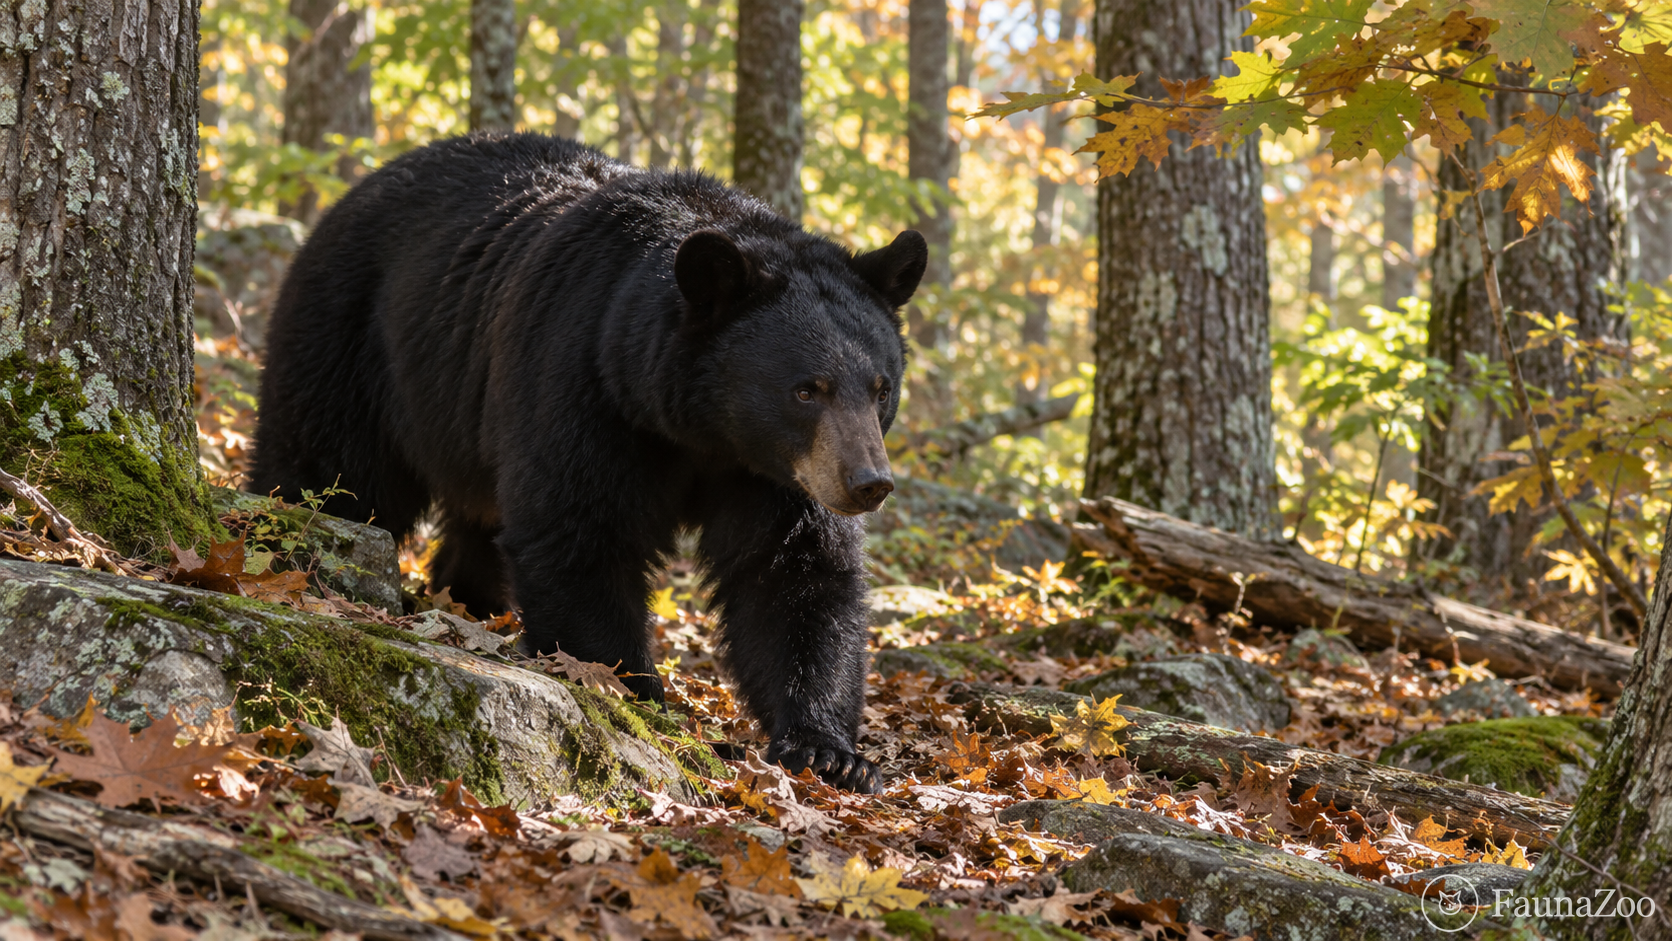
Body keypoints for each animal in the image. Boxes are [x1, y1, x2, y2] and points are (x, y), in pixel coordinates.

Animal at [252, 133, 927, 793]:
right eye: (806, 390)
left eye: (880, 388)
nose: (868, 484)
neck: (697, 426)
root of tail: (356, 190)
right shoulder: (583, 381)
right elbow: (578, 532)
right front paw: (635, 696)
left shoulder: (775, 473)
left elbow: (794, 575)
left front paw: (828, 751)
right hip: (357, 341)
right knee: (329, 469)